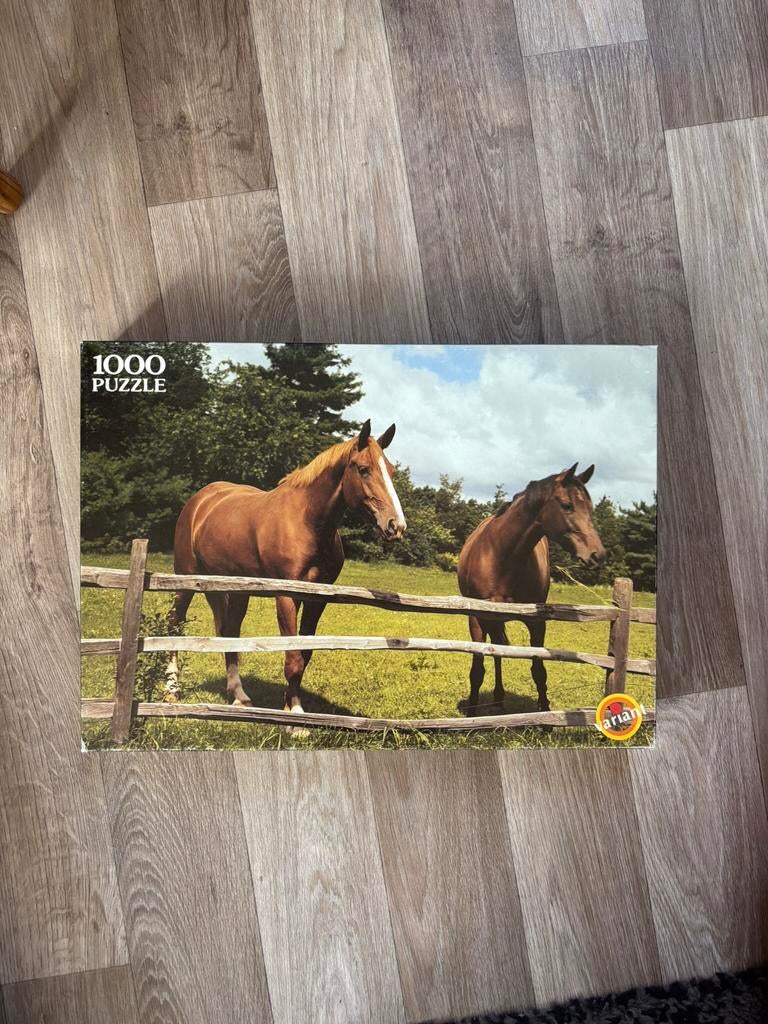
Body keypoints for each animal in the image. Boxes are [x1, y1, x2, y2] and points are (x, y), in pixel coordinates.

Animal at [167, 419, 406, 715]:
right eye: (363, 469)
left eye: (391, 471)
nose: (396, 525)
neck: (307, 521)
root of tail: (200, 500)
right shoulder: (286, 596)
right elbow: (292, 657)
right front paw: (294, 715)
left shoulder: (317, 599)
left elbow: (303, 655)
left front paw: (289, 704)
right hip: (185, 579)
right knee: (174, 625)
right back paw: (172, 690)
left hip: (236, 591)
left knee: (230, 633)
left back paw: (239, 696)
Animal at [457, 463, 605, 713]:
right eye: (567, 505)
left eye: (591, 509)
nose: (598, 555)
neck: (502, 555)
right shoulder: (476, 618)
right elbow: (477, 670)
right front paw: (471, 714)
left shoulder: (536, 622)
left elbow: (539, 670)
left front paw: (545, 712)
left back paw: (499, 699)